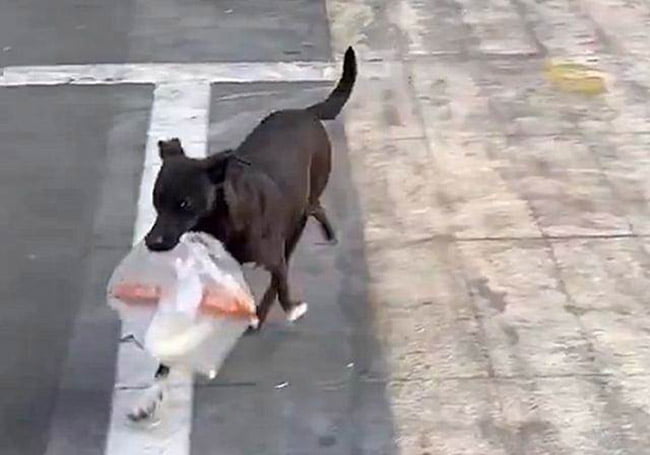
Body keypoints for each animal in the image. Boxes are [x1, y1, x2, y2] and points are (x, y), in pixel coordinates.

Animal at [126, 48, 354, 422]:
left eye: (185, 203)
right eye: (156, 200)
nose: (153, 242)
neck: (218, 224)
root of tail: (306, 113)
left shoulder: (273, 253)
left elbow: (281, 281)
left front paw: (289, 308)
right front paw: (149, 395)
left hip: (302, 208)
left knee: (309, 218)